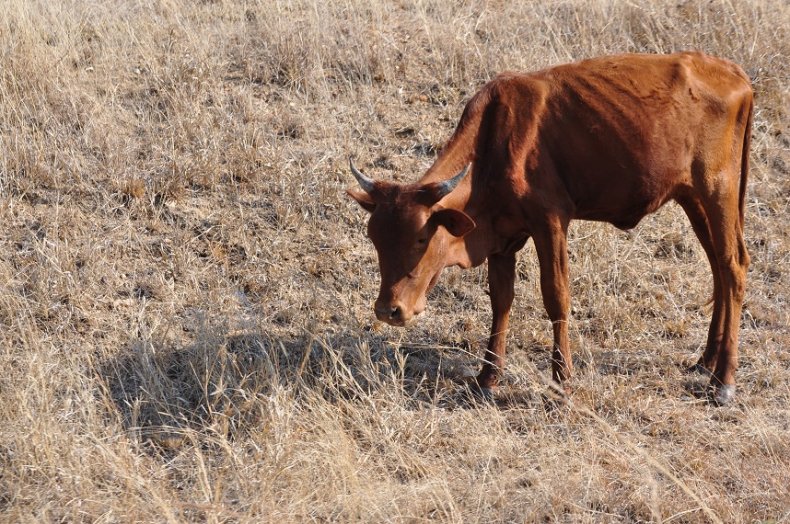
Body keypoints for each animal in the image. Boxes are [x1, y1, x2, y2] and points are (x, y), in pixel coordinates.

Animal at [346, 52, 756, 406]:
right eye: (375, 239)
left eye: (420, 238)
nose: (389, 310)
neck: (496, 139)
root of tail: (734, 72)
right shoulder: (502, 240)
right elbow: (501, 300)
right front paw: (487, 377)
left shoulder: (551, 222)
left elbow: (556, 296)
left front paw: (562, 379)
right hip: (693, 199)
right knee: (718, 268)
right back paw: (706, 361)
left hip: (717, 190)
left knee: (733, 267)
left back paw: (724, 381)